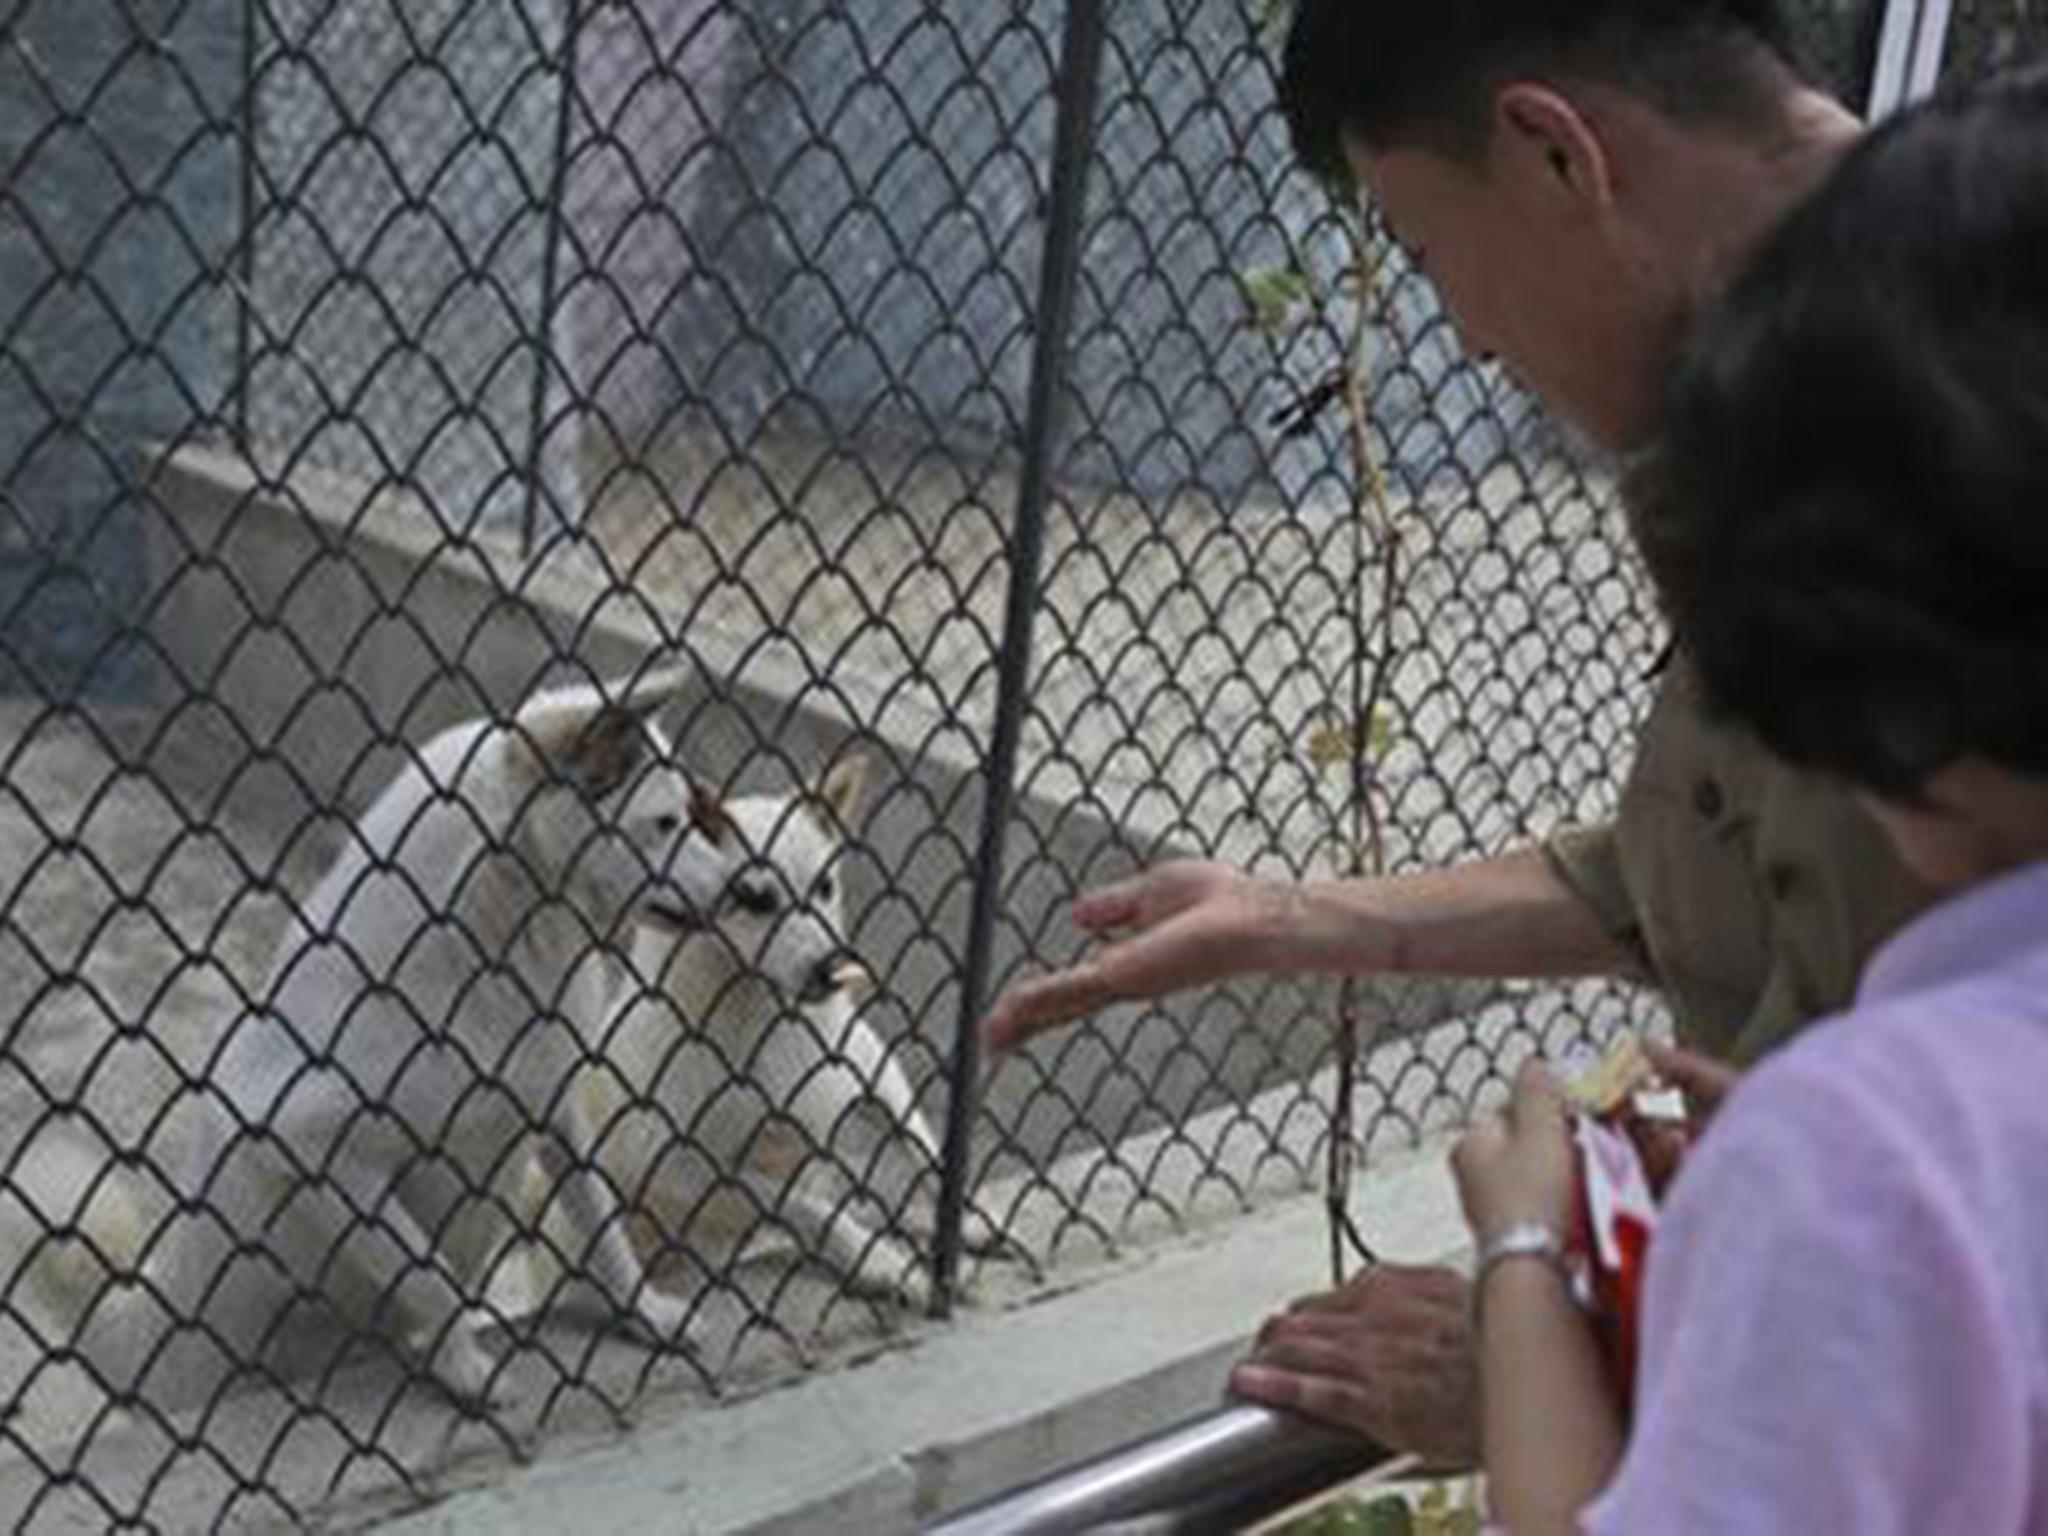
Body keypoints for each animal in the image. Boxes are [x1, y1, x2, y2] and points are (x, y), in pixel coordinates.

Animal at [16, 663, 741, 1409]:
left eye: (690, 815)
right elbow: (430, 1277)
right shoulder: (306, 1144)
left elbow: (602, 1224)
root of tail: (134, 1321)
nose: (744, 889)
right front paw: (467, 1369)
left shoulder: (553, 1108)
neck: (483, 939)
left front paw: (646, 1313)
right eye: (663, 823)